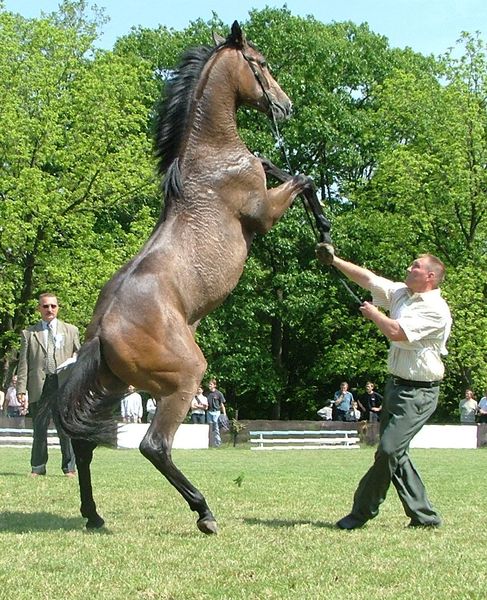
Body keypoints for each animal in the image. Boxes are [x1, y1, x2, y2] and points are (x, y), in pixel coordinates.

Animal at [60, 21, 312, 532]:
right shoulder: (264, 214)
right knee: (154, 445)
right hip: (184, 380)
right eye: (260, 64)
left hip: (116, 386)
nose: (285, 105)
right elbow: (302, 180)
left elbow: (280, 167)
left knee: (85, 443)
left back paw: (94, 515)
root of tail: (100, 333)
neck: (210, 156)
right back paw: (204, 512)